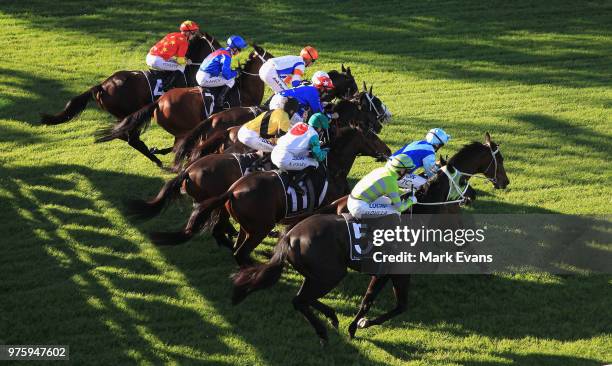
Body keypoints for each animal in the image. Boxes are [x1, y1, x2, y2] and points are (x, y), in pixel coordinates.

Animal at [145, 126, 390, 264]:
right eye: (374, 137)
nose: (387, 152)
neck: (331, 166)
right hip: (255, 224)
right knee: (229, 239)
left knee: (227, 237)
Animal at [232, 133, 510, 344]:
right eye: (500, 160)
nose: (504, 182)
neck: (421, 209)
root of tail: (290, 237)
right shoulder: (399, 270)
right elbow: (397, 305)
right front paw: (360, 324)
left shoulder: (386, 270)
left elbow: (369, 299)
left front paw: (356, 324)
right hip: (329, 274)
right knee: (300, 300)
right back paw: (324, 329)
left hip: (316, 274)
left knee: (303, 299)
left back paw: (330, 317)